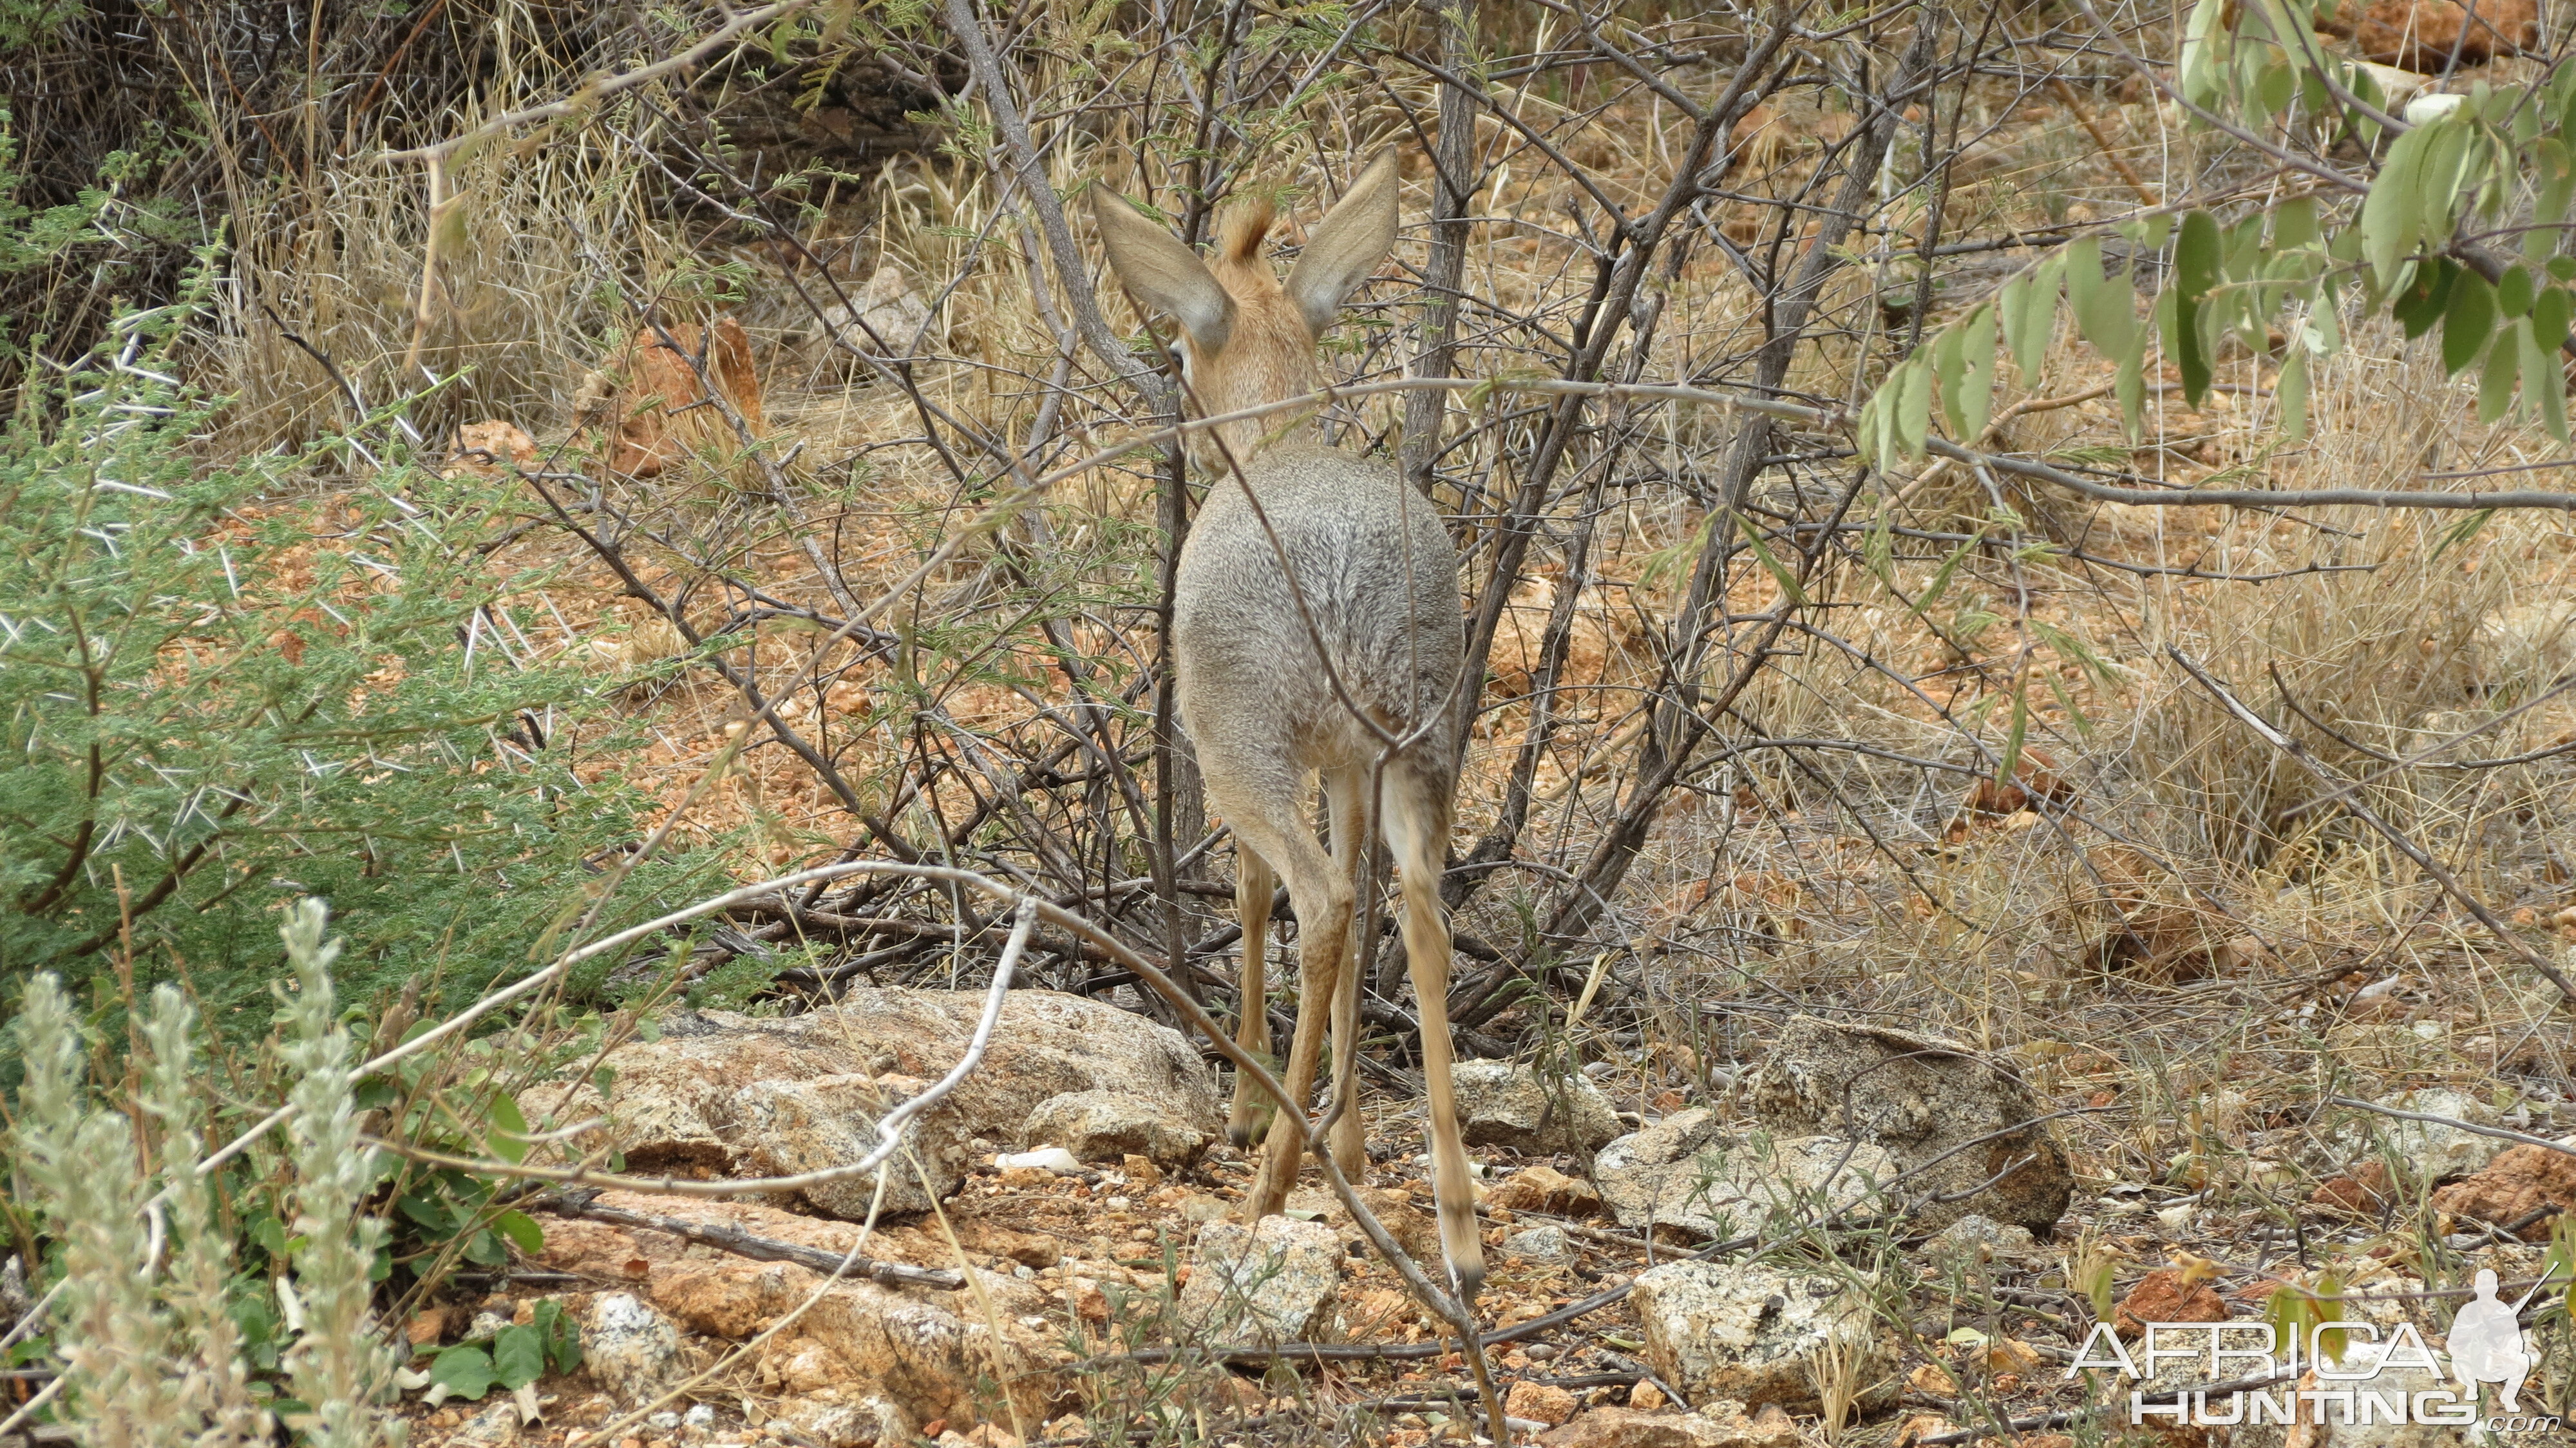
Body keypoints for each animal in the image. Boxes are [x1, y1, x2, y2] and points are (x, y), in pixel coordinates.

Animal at [1092, 155, 1494, 1299]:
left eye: (1182, 346)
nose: (1174, 400)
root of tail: (1349, 580)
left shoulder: (1242, 752)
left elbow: (1251, 895)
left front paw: (1242, 1112)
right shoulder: (1347, 768)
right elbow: (1365, 905)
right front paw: (1351, 1141)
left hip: (1247, 756)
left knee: (1318, 902)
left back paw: (1271, 1172)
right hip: (1417, 747)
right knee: (1412, 912)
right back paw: (1457, 1231)